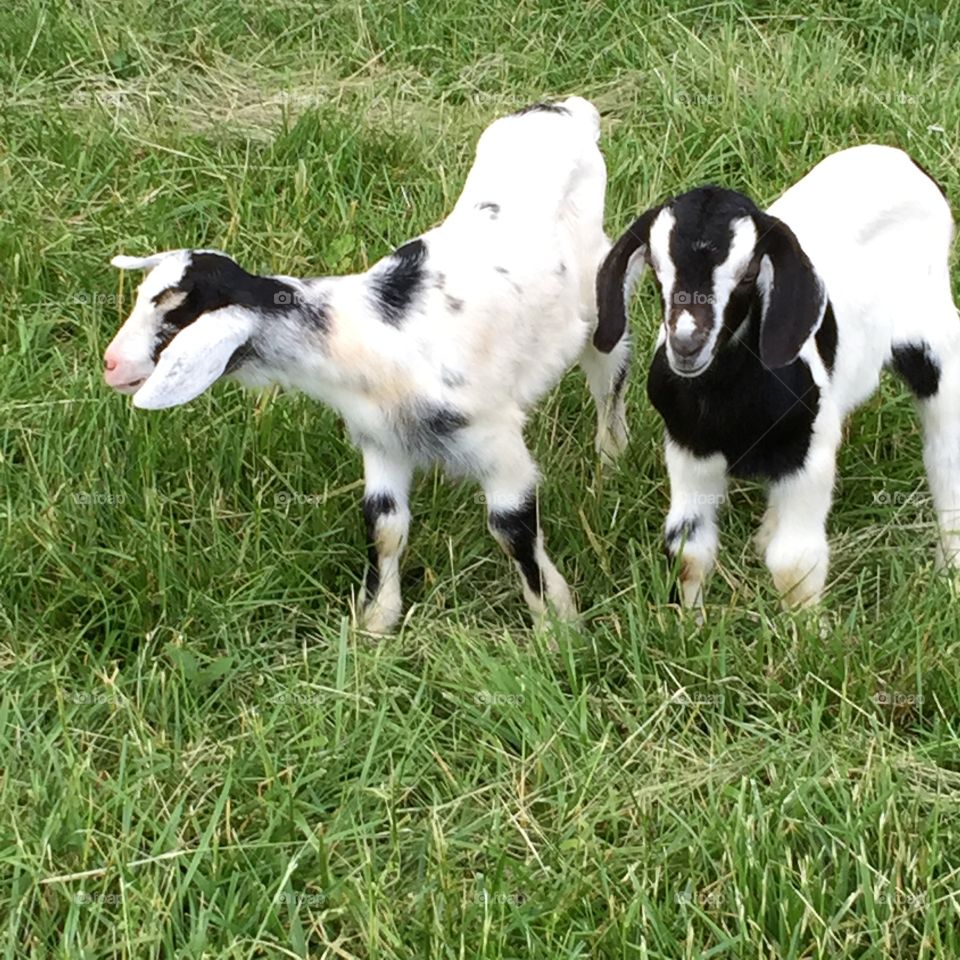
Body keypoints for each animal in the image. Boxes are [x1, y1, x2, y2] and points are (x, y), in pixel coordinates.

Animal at [596, 142, 956, 608]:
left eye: (750, 272)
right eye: (657, 268)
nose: (687, 344)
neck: (728, 402)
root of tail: (896, 157)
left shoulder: (810, 455)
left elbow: (794, 564)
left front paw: (808, 625)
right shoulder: (688, 449)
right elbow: (688, 550)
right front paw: (691, 620)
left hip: (935, 342)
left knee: (946, 451)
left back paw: (950, 571)